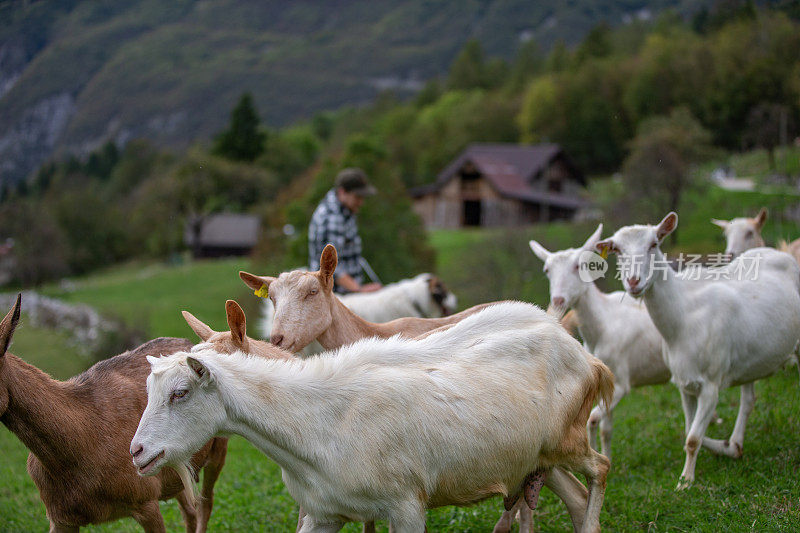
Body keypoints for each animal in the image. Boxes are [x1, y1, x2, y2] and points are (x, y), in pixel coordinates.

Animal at [134, 302, 616, 528]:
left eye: (180, 393)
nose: (136, 452)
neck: (313, 419)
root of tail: (581, 352)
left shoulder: (406, 507)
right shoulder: (324, 512)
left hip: (569, 437)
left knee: (601, 468)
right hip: (534, 457)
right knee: (575, 498)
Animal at [532, 224, 668, 458]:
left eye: (578, 265)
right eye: (547, 270)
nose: (558, 300)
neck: (602, 327)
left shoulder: (621, 381)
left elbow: (594, 419)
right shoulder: (606, 380)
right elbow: (606, 428)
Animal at [600, 211, 800, 486]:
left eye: (654, 244)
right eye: (617, 250)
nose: (633, 282)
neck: (682, 319)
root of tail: (782, 254)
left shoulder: (711, 384)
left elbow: (693, 438)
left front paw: (685, 481)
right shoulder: (684, 383)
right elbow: (690, 430)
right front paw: (728, 449)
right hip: (751, 359)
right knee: (748, 399)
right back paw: (736, 442)